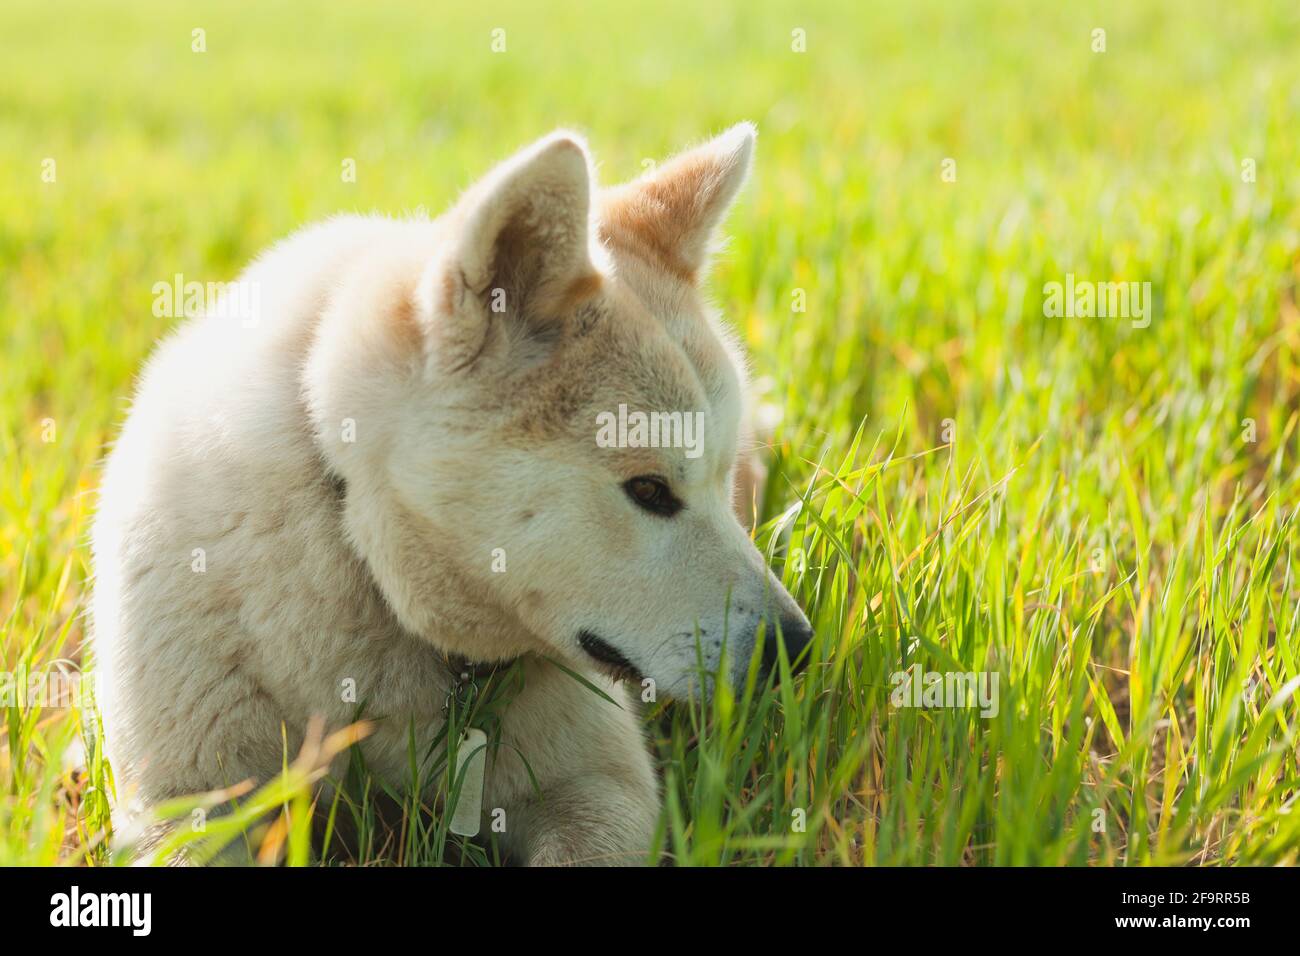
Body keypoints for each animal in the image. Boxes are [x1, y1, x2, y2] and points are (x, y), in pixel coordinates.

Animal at [94, 123, 811, 863]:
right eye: (648, 489)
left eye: (717, 478)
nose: (796, 648)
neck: (360, 551)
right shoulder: (186, 803)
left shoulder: (600, 788)